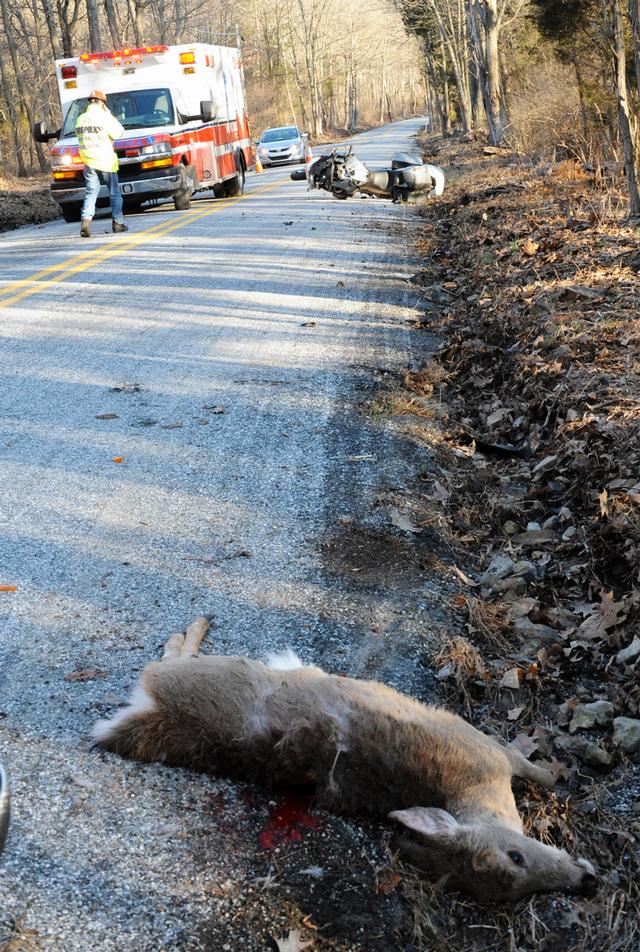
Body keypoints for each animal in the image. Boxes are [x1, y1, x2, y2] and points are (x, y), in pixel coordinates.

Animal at [92, 616, 596, 900]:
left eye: (507, 896)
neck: (474, 791)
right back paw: (198, 623)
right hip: (210, 670)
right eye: (515, 856)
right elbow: (530, 765)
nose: (586, 880)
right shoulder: (485, 744)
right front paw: (561, 773)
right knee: (165, 656)